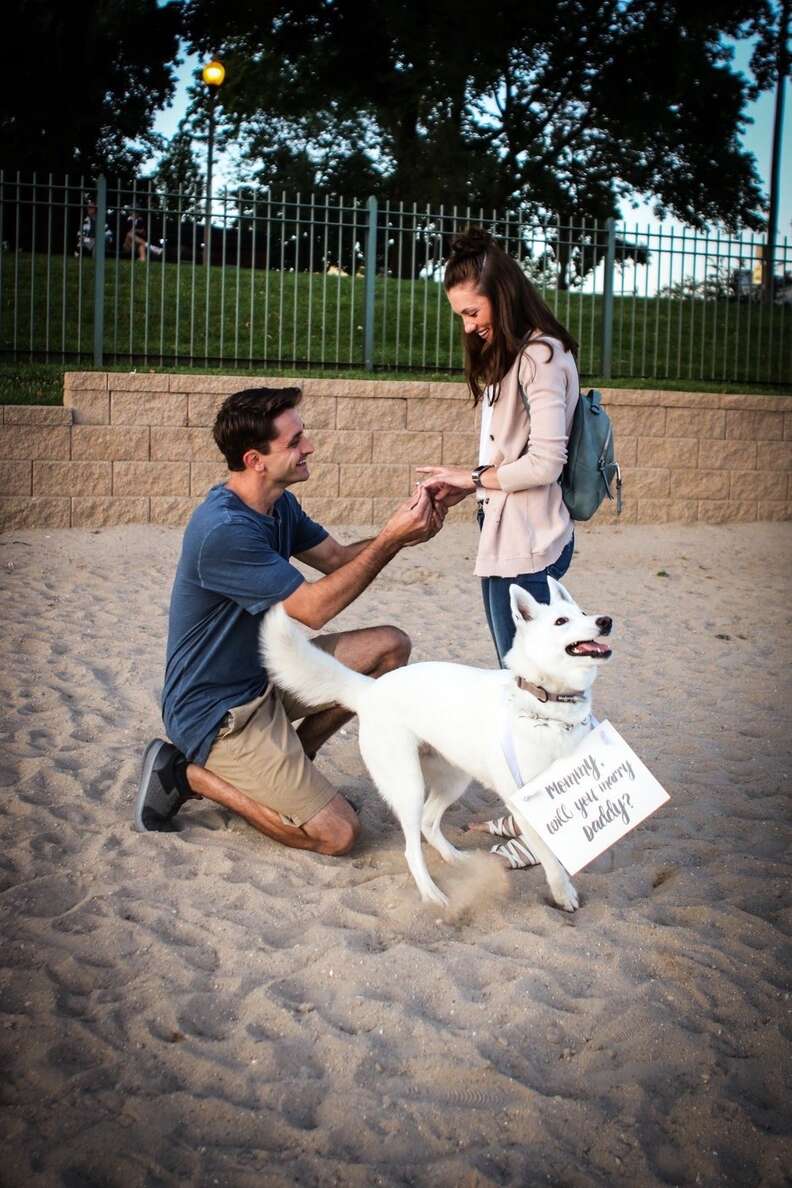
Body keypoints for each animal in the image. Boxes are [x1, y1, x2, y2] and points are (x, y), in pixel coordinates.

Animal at [260, 579, 612, 912]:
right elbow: (550, 856)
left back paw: (455, 858)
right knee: (411, 848)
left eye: (583, 613)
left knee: (429, 823)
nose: (605, 620)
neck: (546, 702)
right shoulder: (525, 801)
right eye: (561, 621)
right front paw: (563, 893)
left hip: (454, 779)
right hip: (409, 786)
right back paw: (431, 894)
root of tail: (370, 690)